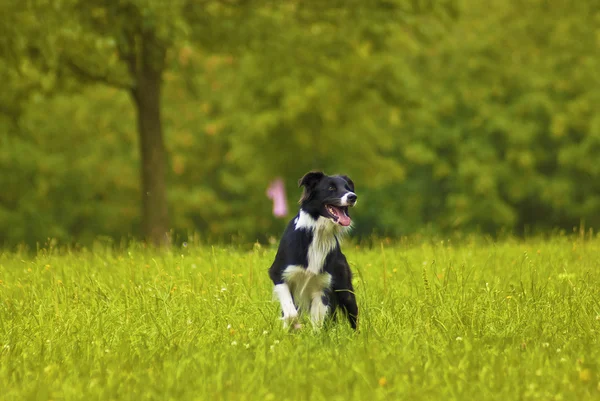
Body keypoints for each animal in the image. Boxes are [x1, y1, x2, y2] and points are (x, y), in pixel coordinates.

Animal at [268, 170, 360, 330]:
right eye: (331, 188)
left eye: (348, 188)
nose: (352, 197)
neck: (318, 233)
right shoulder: (278, 274)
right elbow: (291, 314)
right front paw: (295, 328)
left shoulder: (321, 286)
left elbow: (317, 324)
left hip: (345, 291)